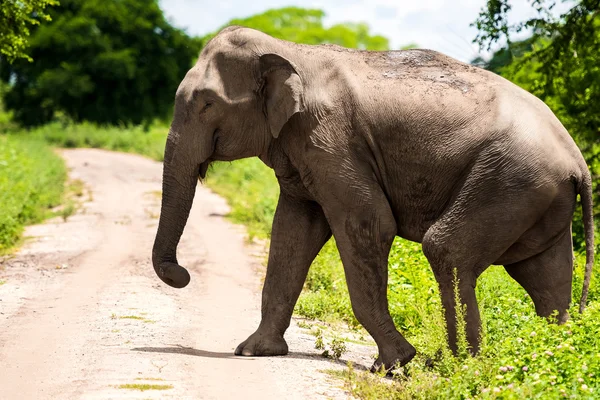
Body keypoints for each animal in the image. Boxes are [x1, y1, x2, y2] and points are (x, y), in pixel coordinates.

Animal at [151, 24, 596, 368]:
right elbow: (292, 233)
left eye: (207, 104)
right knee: (546, 277)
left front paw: (394, 364)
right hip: (537, 195)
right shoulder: (304, 150)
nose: (182, 275)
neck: (289, 50)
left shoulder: (331, 139)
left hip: (510, 179)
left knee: (447, 250)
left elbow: (367, 224)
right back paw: (552, 354)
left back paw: (454, 367)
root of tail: (579, 161)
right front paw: (253, 352)